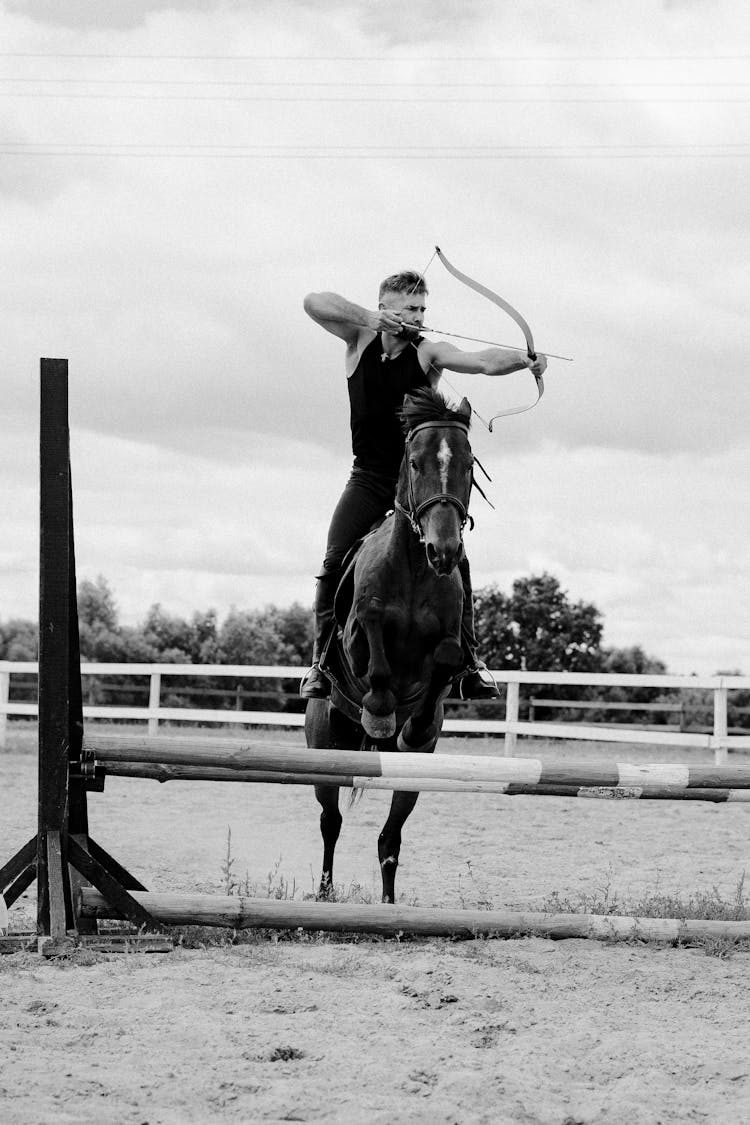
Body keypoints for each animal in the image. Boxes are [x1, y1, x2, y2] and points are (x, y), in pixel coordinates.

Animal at [303, 389, 474, 904]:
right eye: (415, 462)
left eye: (469, 465)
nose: (445, 550)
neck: (416, 568)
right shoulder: (358, 636)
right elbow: (375, 648)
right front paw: (380, 712)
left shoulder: (448, 640)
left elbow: (445, 659)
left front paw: (410, 725)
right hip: (324, 748)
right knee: (331, 821)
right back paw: (324, 894)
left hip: (413, 775)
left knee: (389, 837)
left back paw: (388, 904)